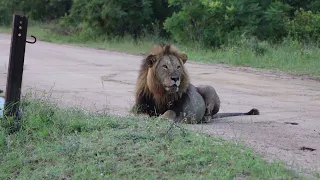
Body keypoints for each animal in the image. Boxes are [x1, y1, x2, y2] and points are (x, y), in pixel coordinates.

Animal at [132, 43, 260, 124]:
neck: (160, 93)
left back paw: (204, 119)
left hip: (209, 88)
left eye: (178, 67)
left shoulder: (180, 112)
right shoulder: (139, 106)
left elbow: (169, 113)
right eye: (165, 66)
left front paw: (159, 118)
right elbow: (139, 114)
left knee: (209, 113)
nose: (175, 78)